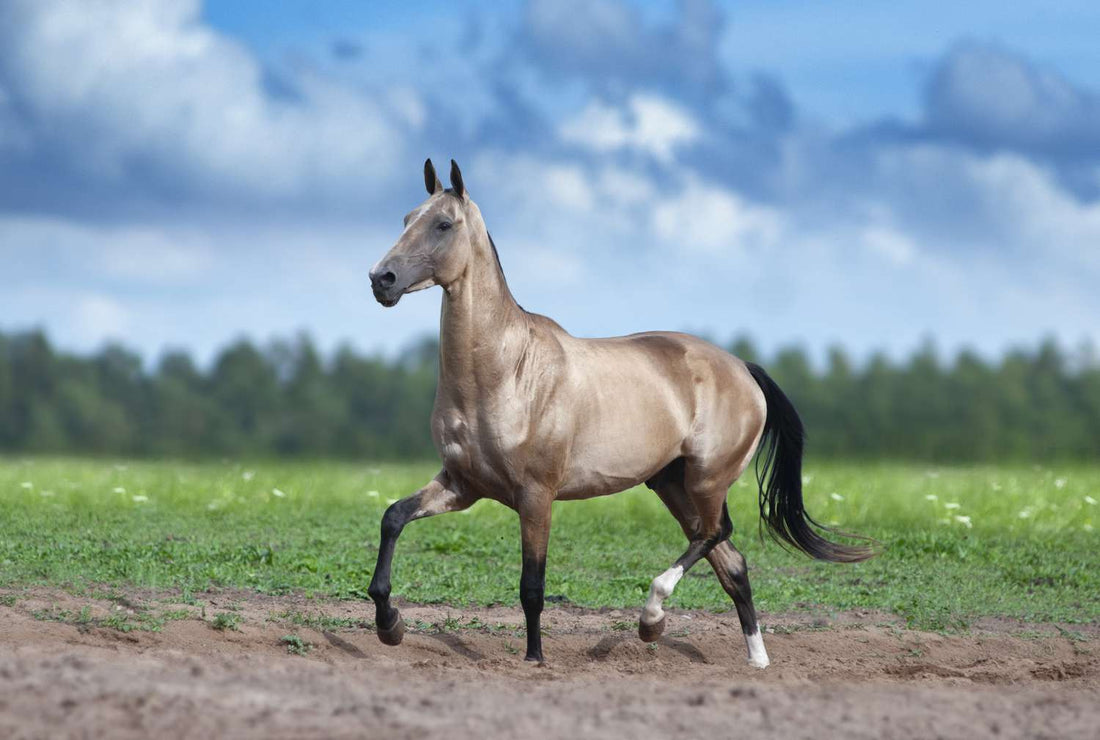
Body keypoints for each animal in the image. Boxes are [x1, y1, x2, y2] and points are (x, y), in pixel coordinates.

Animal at [366, 159, 874, 668]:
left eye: (443, 224)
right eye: (406, 218)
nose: (380, 279)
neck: (506, 371)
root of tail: (743, 369)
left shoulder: (536, 496)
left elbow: (532, 586)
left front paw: (534, 659)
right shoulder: (462, 485)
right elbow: (393, 517)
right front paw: (390, 625)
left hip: (706, 480)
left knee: (717, 532)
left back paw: (652, 619)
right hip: (672, 483)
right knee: (731, 562)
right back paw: (756, 660)